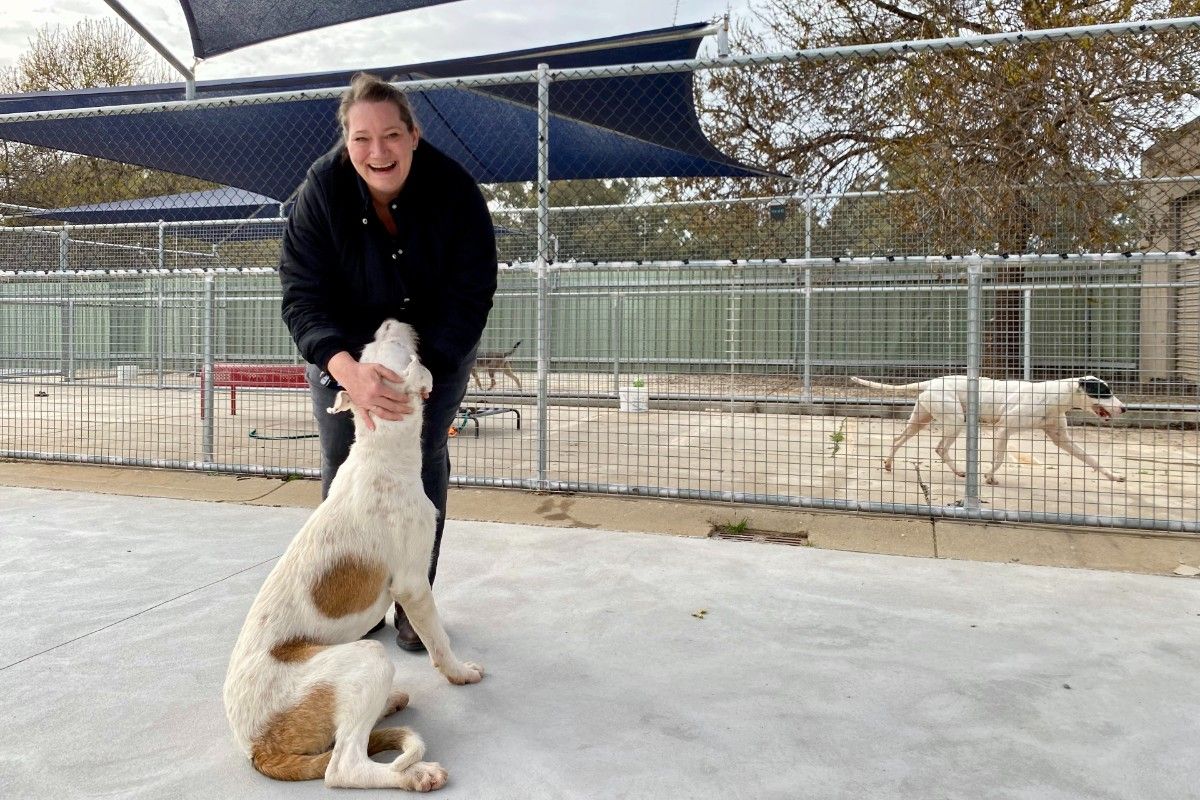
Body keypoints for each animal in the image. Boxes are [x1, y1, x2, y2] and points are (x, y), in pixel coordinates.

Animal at [225, 321, 482, 796]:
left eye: (368, 350)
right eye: (399, 350)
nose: (389, 321)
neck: (380, 453)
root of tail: (255, 748)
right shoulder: (414, 585)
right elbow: (438, 641)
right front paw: (459, 672)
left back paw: (391, 703)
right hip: (367, 659)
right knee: (343, 766)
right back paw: (416, 774)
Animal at [854, 374, 1123, 482]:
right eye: (1104, 392)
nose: (1123, 408)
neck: (1055, 396)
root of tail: (935, 381)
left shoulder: (1062, 439)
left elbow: (1091, 459)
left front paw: (1113, 476)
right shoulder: (1003, 430)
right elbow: (999, 458)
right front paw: (990, 477)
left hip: (920, 420)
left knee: (897, 440)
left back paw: (889, 464)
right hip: (955, 420)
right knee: (939, 448)